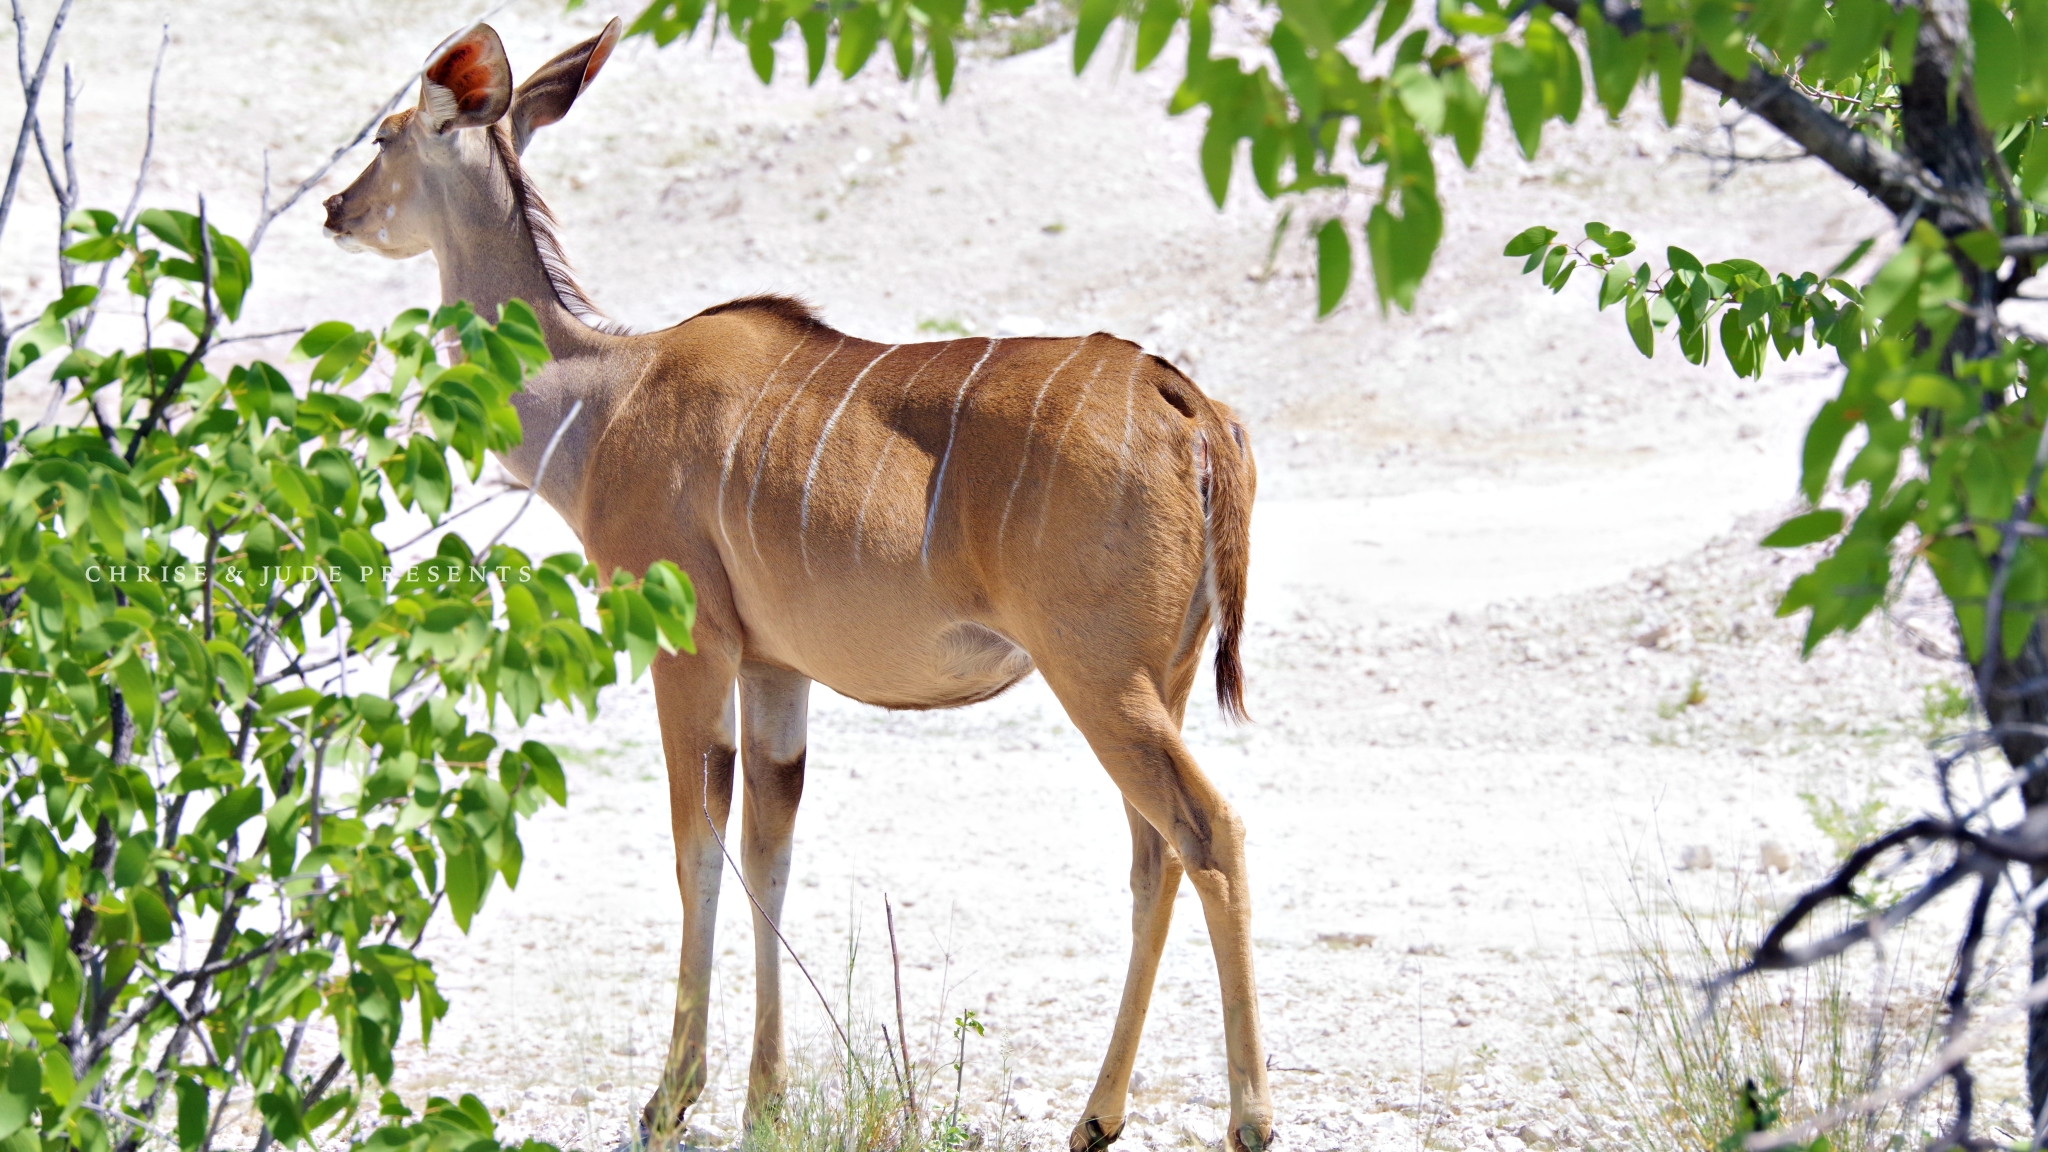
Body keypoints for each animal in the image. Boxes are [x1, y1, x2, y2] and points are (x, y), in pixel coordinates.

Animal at [321, 20, 1269, 1147]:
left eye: (385, 134)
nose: (334, 209)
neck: (602, 395)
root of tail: (1192, 408)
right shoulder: (776, 668)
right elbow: (768, 850)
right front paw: (764, 1100)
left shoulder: (689, 644)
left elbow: (696, 843)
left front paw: (672, 1096)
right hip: (1158, 681)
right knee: (1153, 852)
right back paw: (1096, 1115)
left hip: (1100, 678)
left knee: (1208, 831)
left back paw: (1247, 1116)